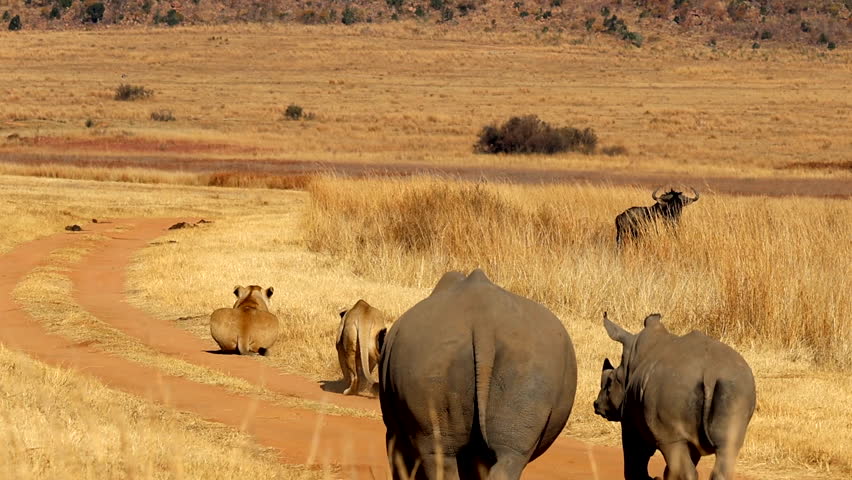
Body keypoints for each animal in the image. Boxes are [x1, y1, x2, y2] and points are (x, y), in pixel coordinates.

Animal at [378, 269, 577, 480]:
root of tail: (484, 324)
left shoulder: (392, 430)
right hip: (530, 363)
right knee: (509, 454)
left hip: (432, 360)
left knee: (438, 451)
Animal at [594, 312, 756, 480]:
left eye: (609, 382)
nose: (596, 404)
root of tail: (710, 373)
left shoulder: (630, 419)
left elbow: (635, 459)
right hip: (737, 386)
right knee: (728, 447)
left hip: (671, 390)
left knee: (672, 447)